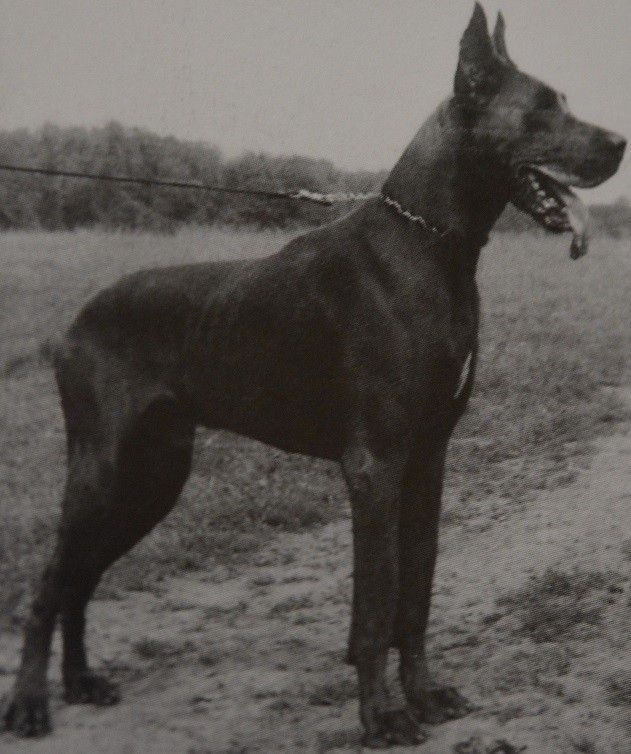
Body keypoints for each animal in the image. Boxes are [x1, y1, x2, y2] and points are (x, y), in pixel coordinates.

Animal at [3, 3, 625, 748]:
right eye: (539, 108)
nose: (619, 143)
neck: (427, 244)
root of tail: (73, 322)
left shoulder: (428, 458)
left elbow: (415, 594)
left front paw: (424, 694)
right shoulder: (374, 464)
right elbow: (376, 603)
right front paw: (382, 714)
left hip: (153, 476)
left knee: (80, 580)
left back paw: (80, 682)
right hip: (102, 470)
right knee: (50, 583)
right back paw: (31, 703)